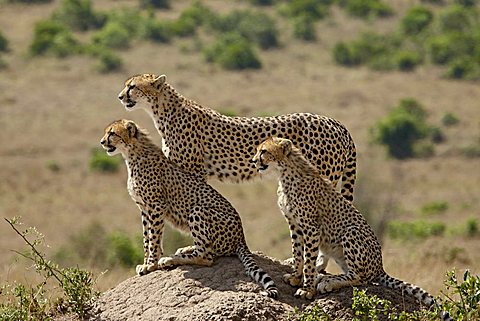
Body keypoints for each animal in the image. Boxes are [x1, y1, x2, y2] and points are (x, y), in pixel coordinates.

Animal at [101, 119, 280, 298]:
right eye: (107, 132)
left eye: (112, 133)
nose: (102, 142)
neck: (132, 153)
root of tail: (241, 237)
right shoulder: (144, 208)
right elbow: (147, 238)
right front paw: (146, 262)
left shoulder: (157, 205)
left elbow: (154, 237)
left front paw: (151, 264)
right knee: (208, 249)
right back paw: (184, 249)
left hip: (198, 210)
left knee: (207, 256)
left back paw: (170, 259)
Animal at [116, 73, 356, 201]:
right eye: (126, 85)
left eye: (132, 86)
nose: (119, 96)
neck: (164, 111)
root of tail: (336, 123)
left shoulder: (194, 170)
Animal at [251, 136, 454, 318]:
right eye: (258, 150)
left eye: (264, 151)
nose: (253, 161)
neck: (284, 173)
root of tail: (380, 267)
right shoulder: (294, 224)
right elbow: (298, 253)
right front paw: (295, 277)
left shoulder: (311, 227)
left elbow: (309, 260)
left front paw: (307, 289)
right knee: (352, 273)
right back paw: (325, 278)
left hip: (351, 232)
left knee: (360, 278)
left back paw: (327, 281)